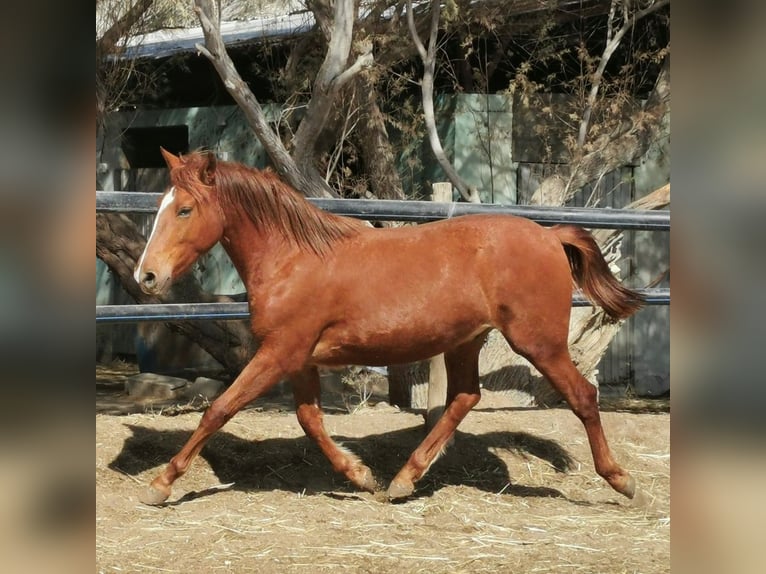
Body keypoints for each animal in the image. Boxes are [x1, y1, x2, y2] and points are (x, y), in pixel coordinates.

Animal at [135, 150, 644, 508]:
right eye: (160, 206)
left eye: (184, 210)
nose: (147, 276)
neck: (294, 259)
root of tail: (549, 235)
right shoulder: (297, 358)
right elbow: (308, 418)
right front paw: (360, 475)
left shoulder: (278, 353)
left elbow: (218, 409)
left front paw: (160, 484)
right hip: (467, 341)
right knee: (465, 397)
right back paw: (402, 480)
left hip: (539, 342)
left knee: (582, 396)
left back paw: (623, 482)